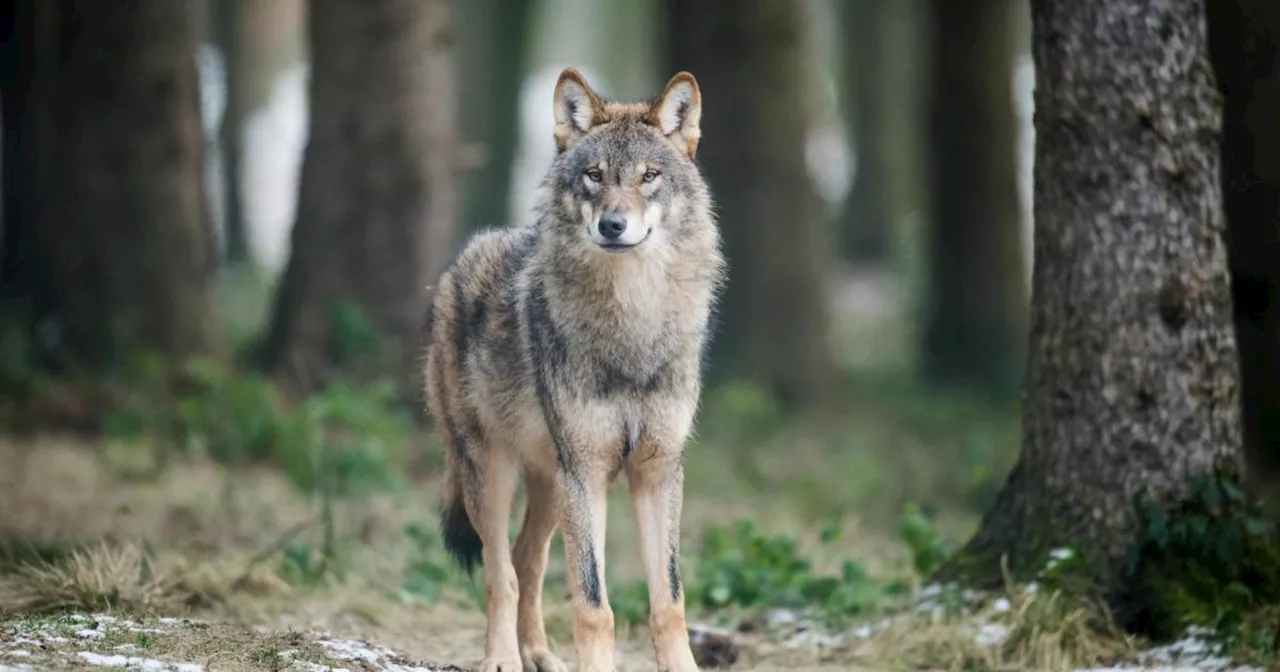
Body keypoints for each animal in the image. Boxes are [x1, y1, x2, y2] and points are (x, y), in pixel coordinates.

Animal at [419, 69, 721, 670]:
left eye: (649, 176)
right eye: (594, 175)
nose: (613, 224)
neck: (633, 325)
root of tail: (457, 263)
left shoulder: (657, 472)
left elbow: (669, 600)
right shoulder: (585, 470)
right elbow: (593, 603)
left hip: (551, 486)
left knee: (527, 562)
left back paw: (538, 653)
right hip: (494, 475)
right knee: (501, 571)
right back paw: (502, 658)